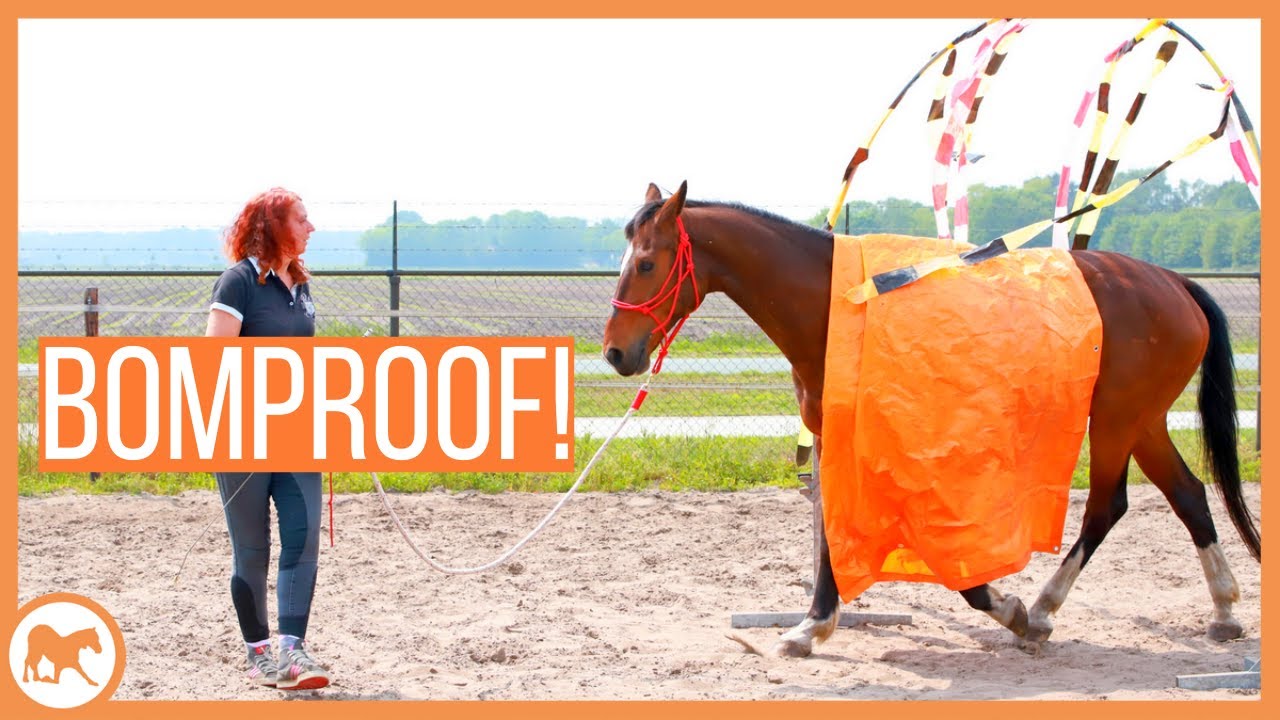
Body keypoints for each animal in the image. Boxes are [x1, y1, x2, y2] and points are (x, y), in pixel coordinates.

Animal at [602, 181, 1261, 657]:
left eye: (647, 263)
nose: (614, 352)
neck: (845, 305)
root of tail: (1173, 281)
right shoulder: (834, 437)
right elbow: (833, 530)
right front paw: (812, 624)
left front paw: (1007, 608)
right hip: (1143, 421)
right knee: (1187, 493)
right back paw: (1224, 610)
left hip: (1119, 421)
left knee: (1108, 506)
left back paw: (1043, 608)